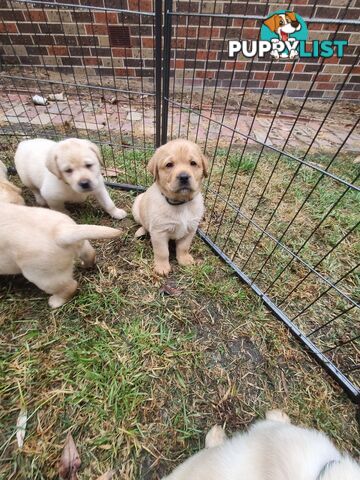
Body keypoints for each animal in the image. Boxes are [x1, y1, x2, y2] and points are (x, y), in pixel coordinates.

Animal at [132, 139, 208, 274]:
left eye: (193, 163)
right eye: (169, 165)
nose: (184, 177)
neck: (181, 203)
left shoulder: (191, 229)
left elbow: (183, 247)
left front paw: (184, 259)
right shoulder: (159, 232)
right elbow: (162, 252)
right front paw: (162, 267)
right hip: (137, 205)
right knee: (143, 224)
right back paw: (141, 231)